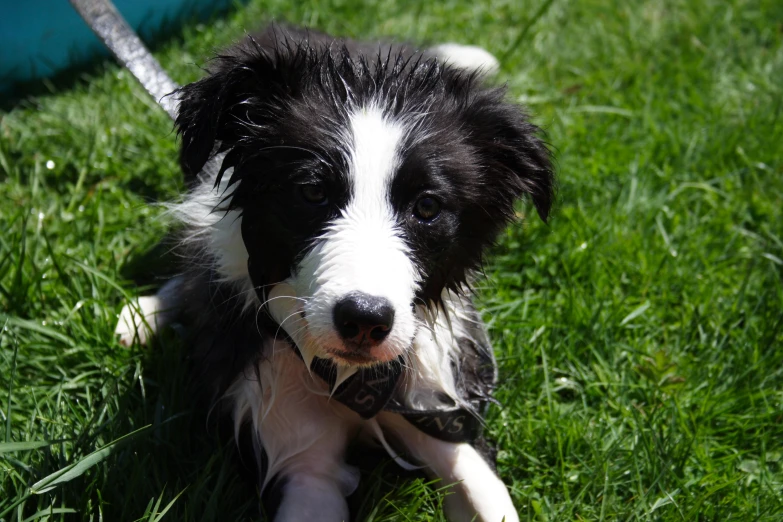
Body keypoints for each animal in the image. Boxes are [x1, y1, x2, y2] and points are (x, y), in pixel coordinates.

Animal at [118, 25, 556, 522]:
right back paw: (146, 313)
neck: (353, 381)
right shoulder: (301, 461)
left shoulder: (440, 412)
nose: (364, 320)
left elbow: (488, 493)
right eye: (312, 192)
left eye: (427, 206)